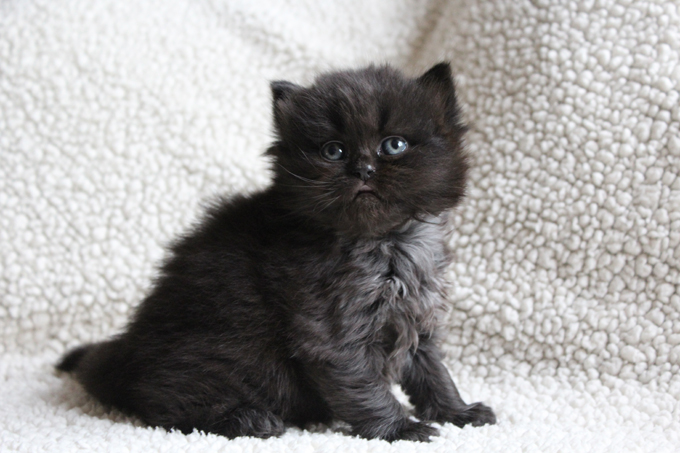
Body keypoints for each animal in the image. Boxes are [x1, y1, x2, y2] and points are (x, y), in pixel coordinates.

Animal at [57, 62, 494, 442]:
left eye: (394, 145)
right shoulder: (330, 328)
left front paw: (457, 411)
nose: (363, 169)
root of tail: (124, 354)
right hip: (226, 356)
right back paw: (247, 418)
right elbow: (363, 386)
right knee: (163, 405)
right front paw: (398, 428)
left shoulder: (416, 316)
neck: (386, 244)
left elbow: (433, 373)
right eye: (333, 151)